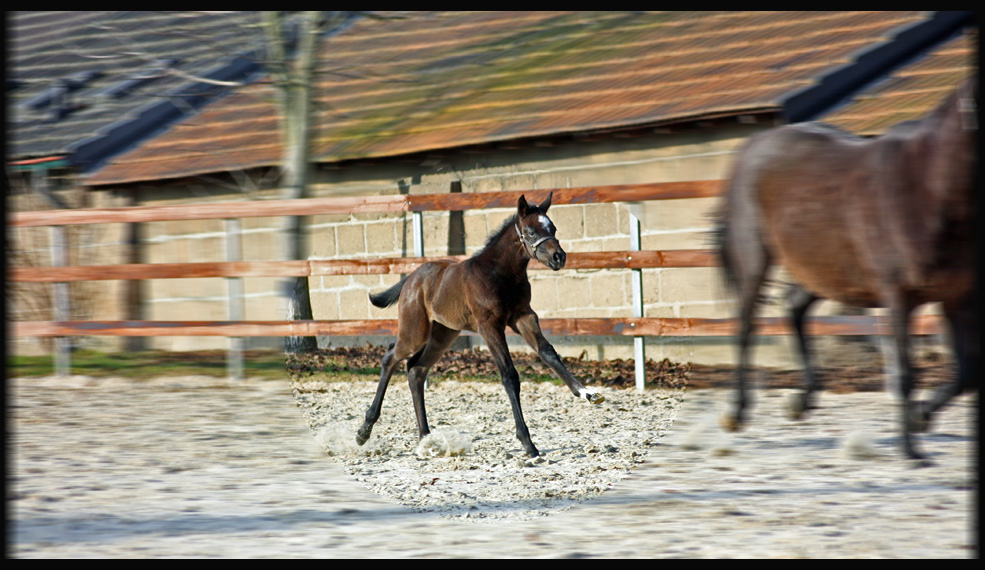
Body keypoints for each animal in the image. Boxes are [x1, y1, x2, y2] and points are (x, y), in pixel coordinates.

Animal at [354, 193, 600, 454]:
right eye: (531, 232)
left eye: (552, 228)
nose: (558, 257)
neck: (500, 274)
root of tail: (410, 279)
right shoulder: (489, 326)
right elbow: (509, 375)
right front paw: (527, 442)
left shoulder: (523, 316)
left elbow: (548, 352)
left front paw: (587, 393)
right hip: (415, 331)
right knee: (391, 356)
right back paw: (364, 430)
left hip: (443, 334)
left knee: (416, 370)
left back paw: (425, 438)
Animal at [716, 77, 976, 462]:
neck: (928, 188)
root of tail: (754, 145)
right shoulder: (898, 296)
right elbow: (906, 374)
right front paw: (911, 451)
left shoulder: (956, 298)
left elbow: (967, 373)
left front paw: (920, 419)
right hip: (755, 257)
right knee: (746, 325)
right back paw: (737, 413)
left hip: (822, 267)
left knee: (793, 306)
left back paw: (801, 401)